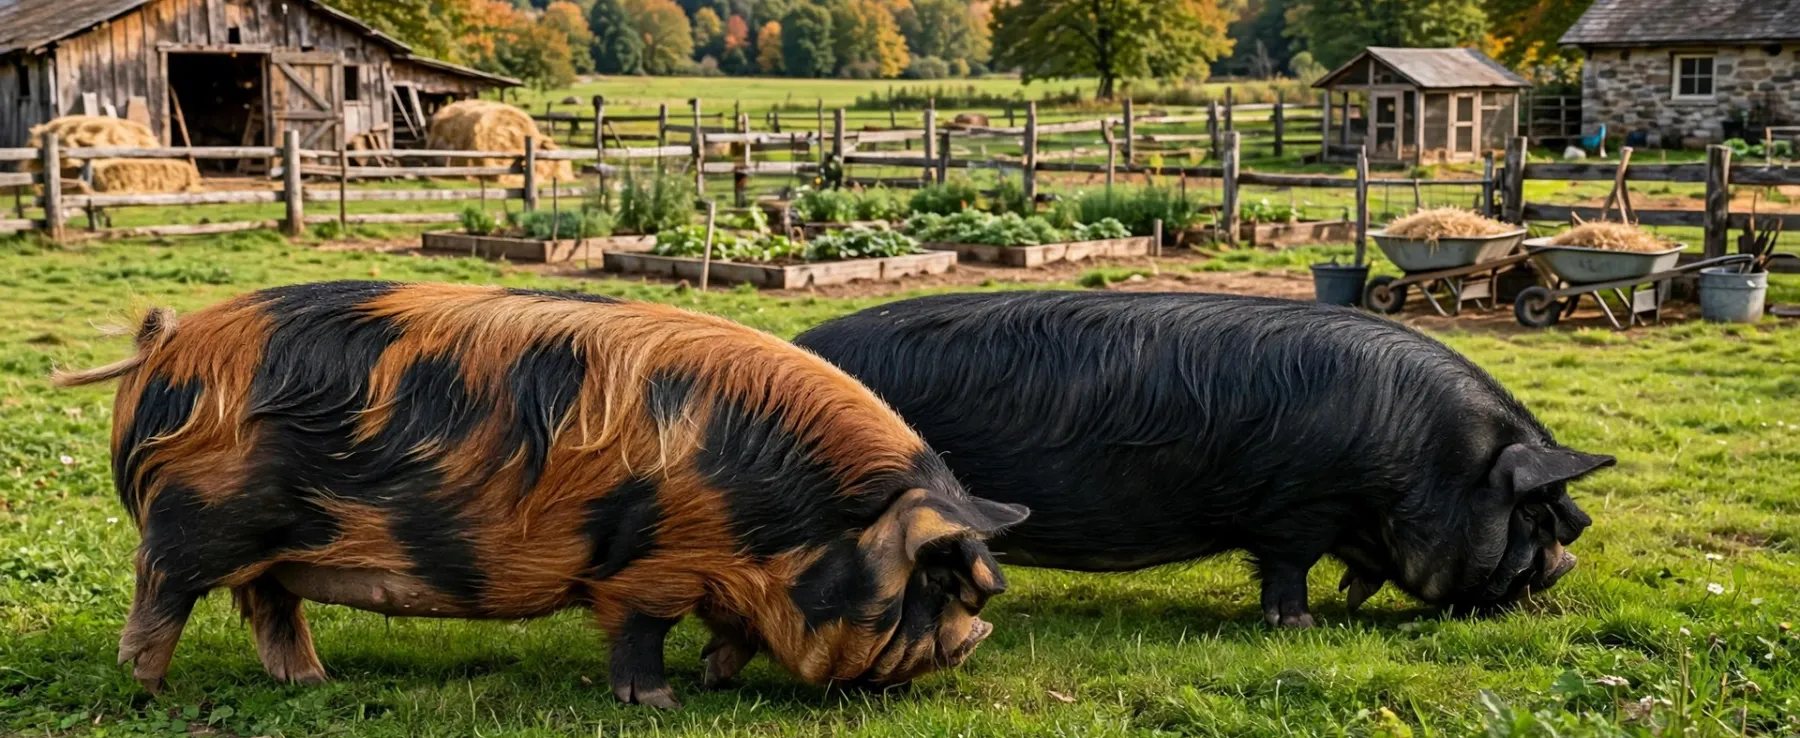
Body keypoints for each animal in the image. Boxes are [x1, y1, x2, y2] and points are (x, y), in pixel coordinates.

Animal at [55, 281, 1026, 707]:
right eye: (937, 582)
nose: (973, 643)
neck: (786, 519)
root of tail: (164, 345)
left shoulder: (725, 577)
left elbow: (736, 632)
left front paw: (714, 676)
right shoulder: (648, 569)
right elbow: (640, 635)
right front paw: (660, 703)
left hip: (272, 546)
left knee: (269, 608)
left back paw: (314, 682)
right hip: (193, 526)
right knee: (160, 595)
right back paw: (148, 692)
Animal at [795, 291, 1612, 627]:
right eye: (1536, 517)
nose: (1563, 569)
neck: (1425, 454)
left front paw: (1350, 598)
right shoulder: (1299, 504)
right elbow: (1287, 565)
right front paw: (1298, 626)